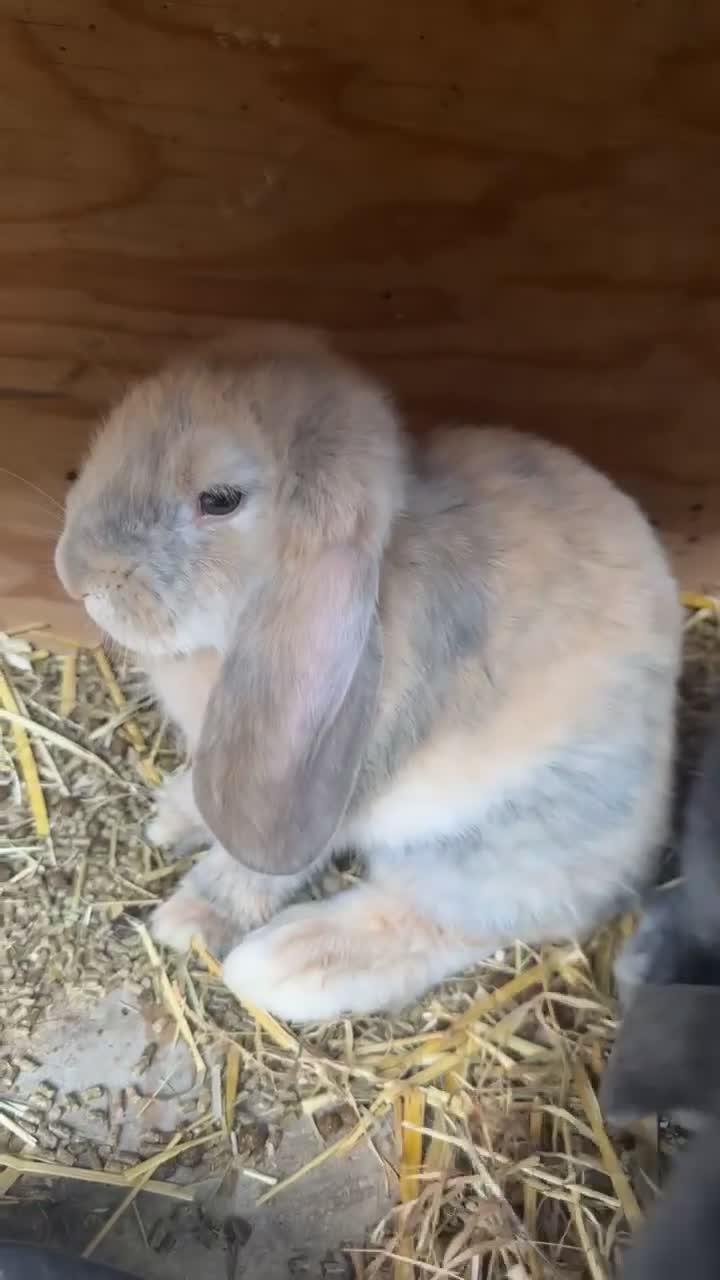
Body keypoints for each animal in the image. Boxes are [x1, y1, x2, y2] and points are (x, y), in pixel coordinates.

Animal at [54, 323, 683, 1022]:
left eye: (218, 500)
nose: (74, 575)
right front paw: (174, 814)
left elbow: (257, 867)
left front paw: (188, 920)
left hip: (489, 840)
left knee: (462, 917)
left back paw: (290, 963)